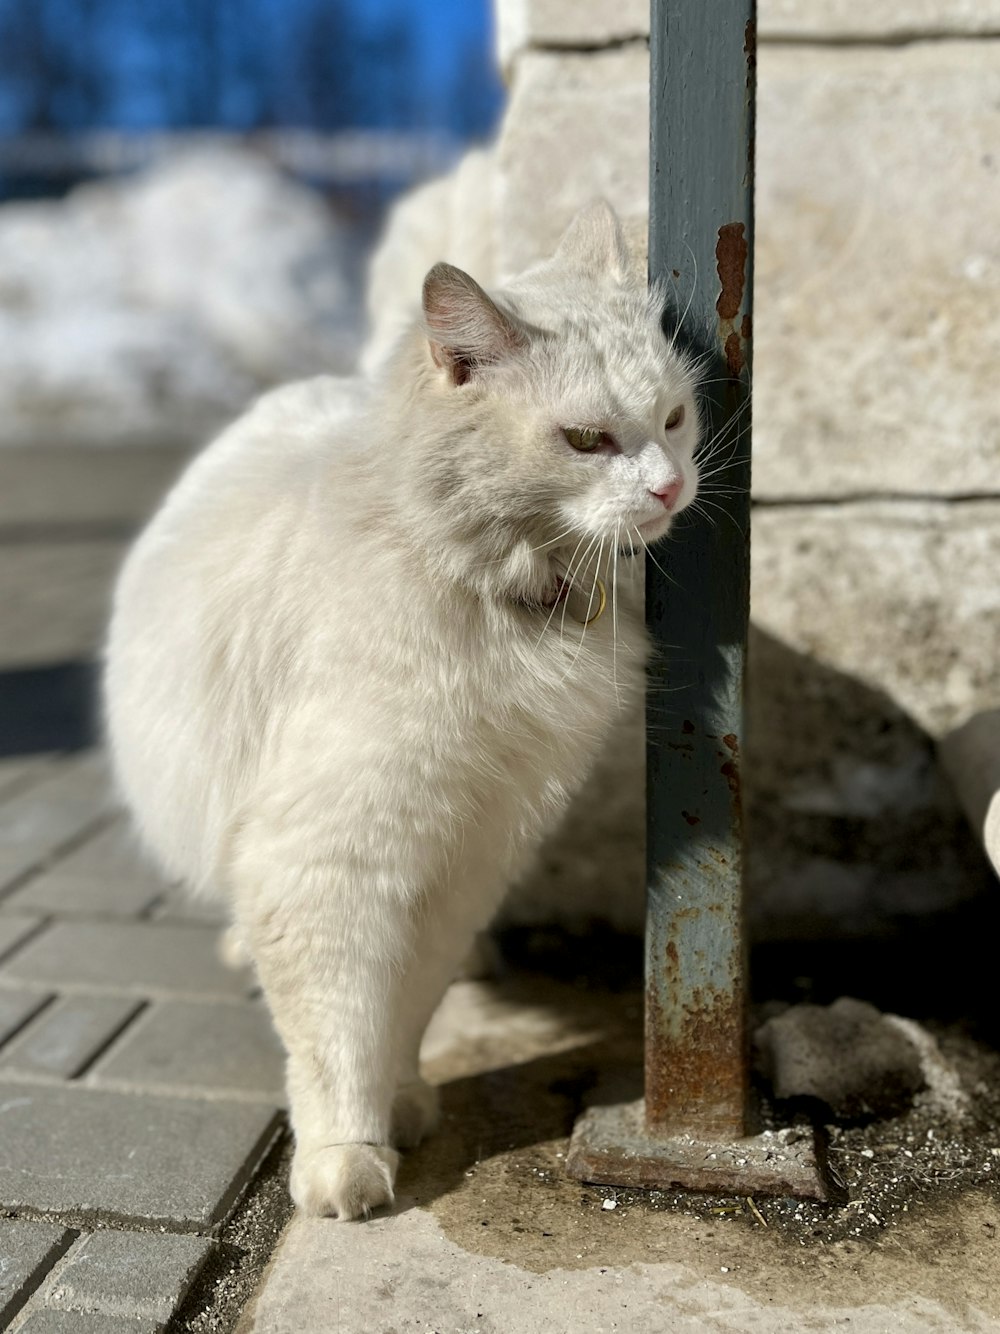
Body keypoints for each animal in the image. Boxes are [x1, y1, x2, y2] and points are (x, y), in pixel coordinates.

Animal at [102, 200, 698, 1221]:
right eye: (585, 441)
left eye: (673, 417)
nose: (670, 487)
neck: (477, 582)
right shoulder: (330, 860)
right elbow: (339, 1029)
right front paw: (347, 1156)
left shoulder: (469, 853)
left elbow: (408, 1004)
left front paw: (407, 1099)